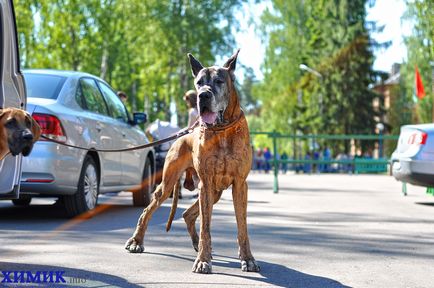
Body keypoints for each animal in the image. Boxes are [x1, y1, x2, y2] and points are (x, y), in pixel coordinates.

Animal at [125, 50, 262, 274]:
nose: (203, 95)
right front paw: (203, 261)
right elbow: (206, 225)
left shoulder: (240, 185)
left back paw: (198, 244)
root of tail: (181, 135)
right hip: (170, 184)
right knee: (149, 209)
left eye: (219, 81)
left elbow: (242, 226)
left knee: (188, 214)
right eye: (199, 82)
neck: (222, 129)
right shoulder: (206, 184)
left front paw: (248, 259)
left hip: (215, 191)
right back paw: (136, 241)